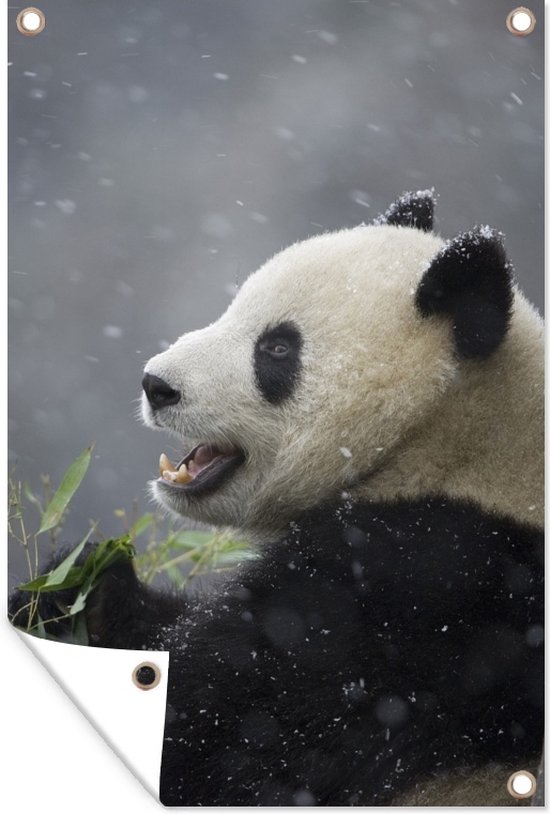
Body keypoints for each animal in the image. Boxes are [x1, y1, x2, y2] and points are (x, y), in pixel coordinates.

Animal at [10, 191, 543, 806]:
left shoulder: (415, 604)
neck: (445, 440)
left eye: (277, 348)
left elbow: (222, 732)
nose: (156, 384)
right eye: (233, 308)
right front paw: (84, 588)